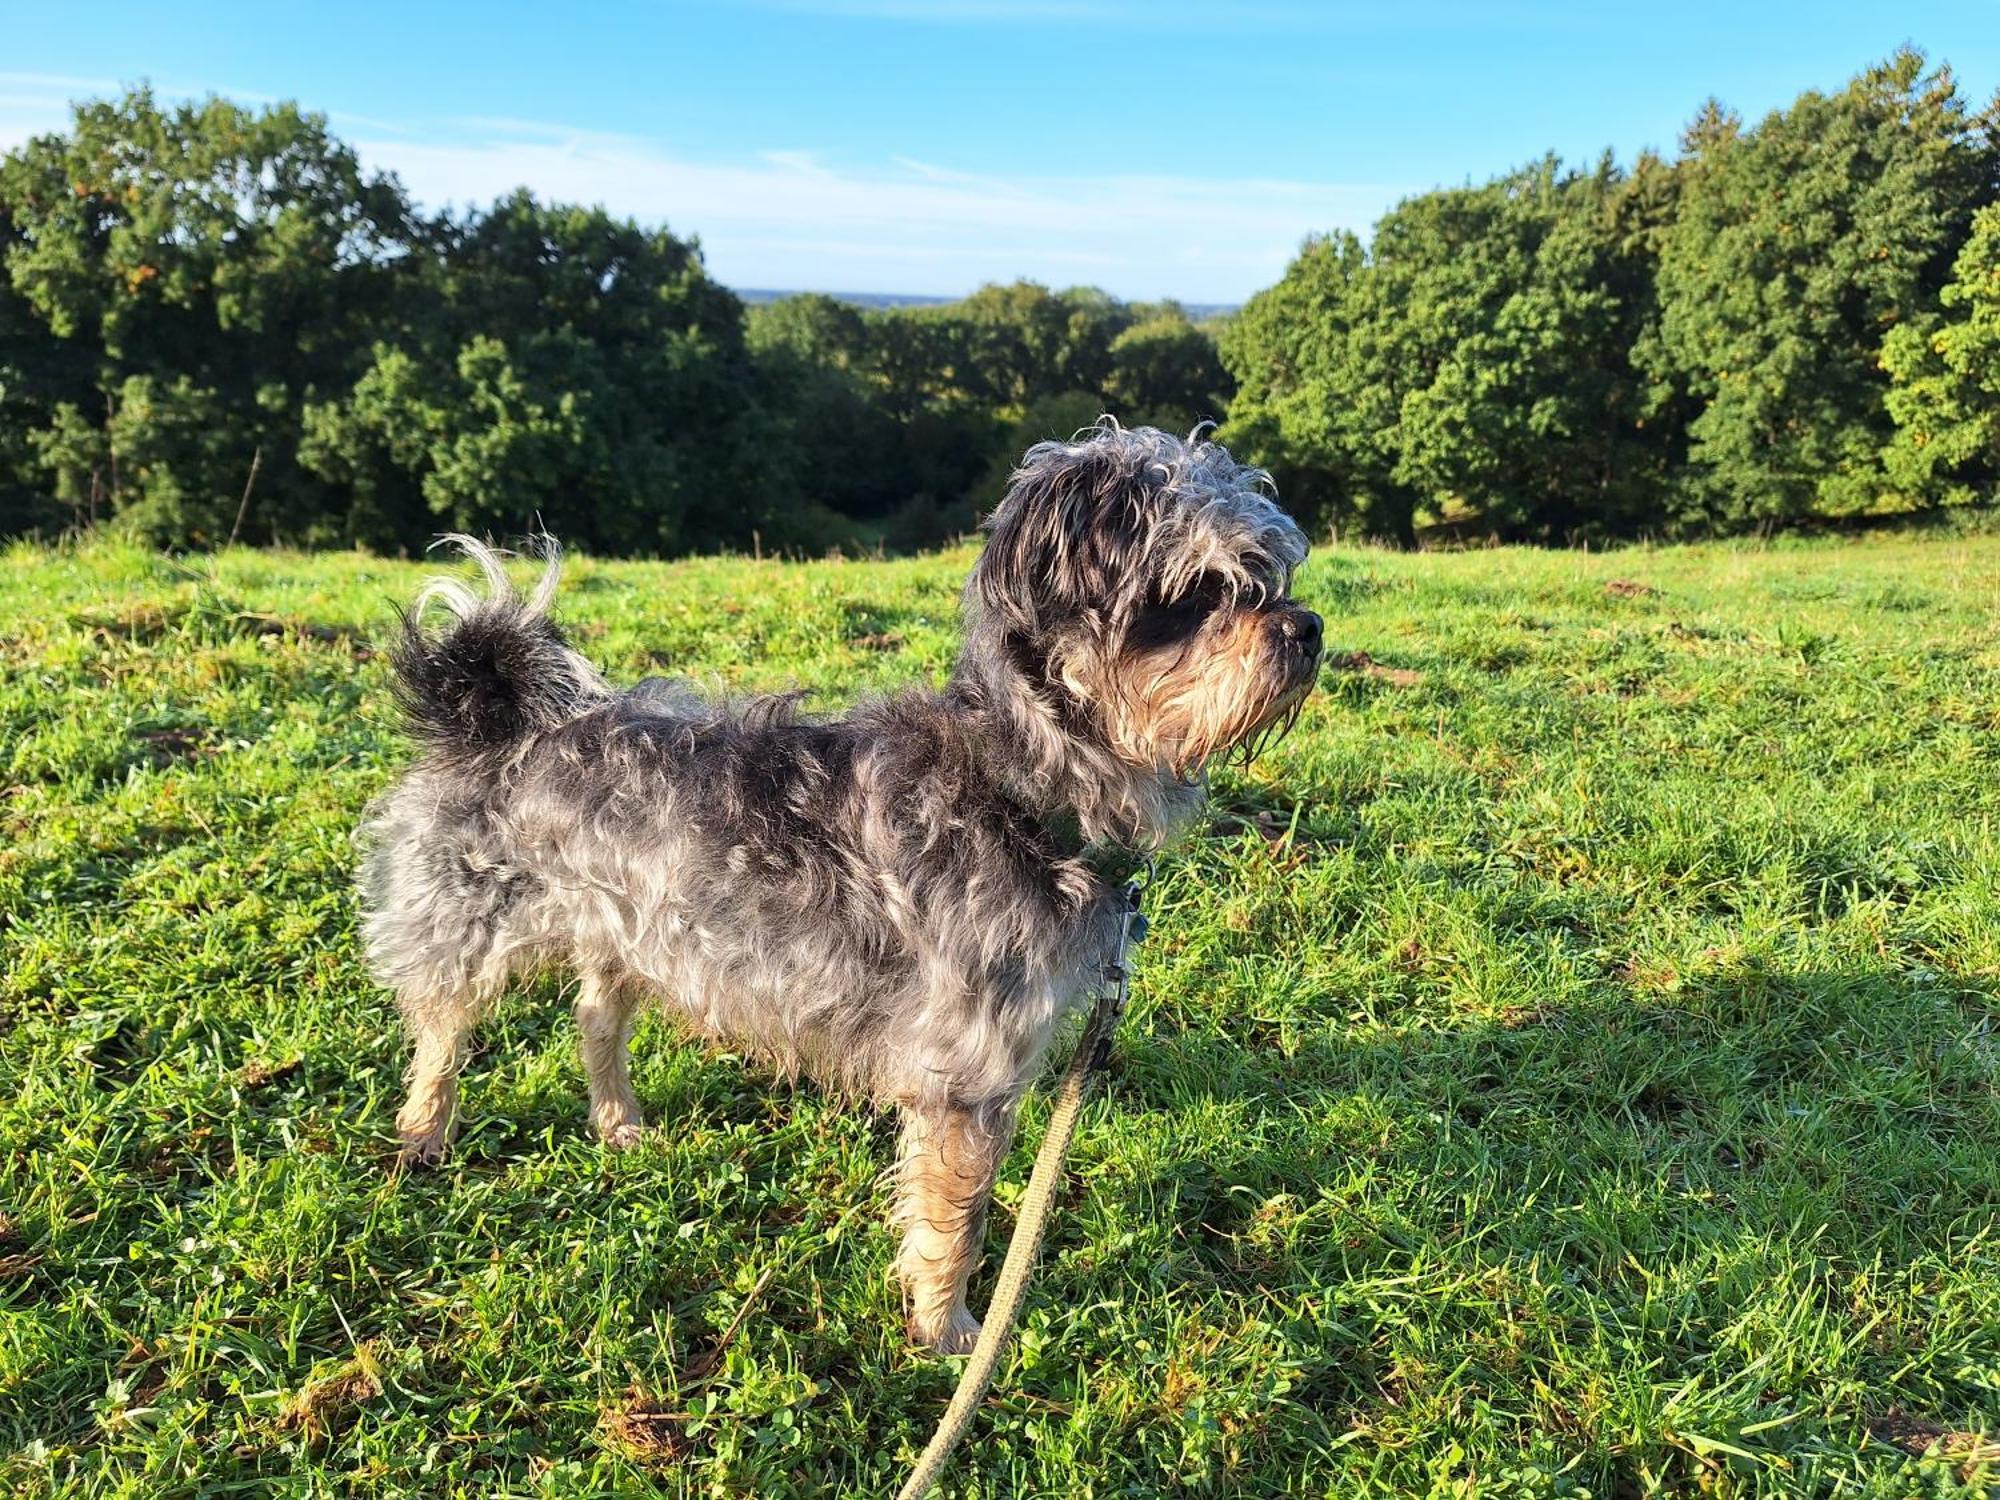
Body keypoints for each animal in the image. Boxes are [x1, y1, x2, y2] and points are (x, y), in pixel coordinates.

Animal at [360, 420, 1328, 1352]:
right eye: (1198, 593)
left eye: (1268, 574)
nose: (1309, 626)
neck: (1014, 790)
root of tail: (486, 712)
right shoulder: (962, 1079)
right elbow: (958, 1221)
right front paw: (948, 1331)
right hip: (465, 924)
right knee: (442, 1031)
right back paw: (424, 1133)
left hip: (628, 927)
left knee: (596, 1015)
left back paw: (618, 1119)